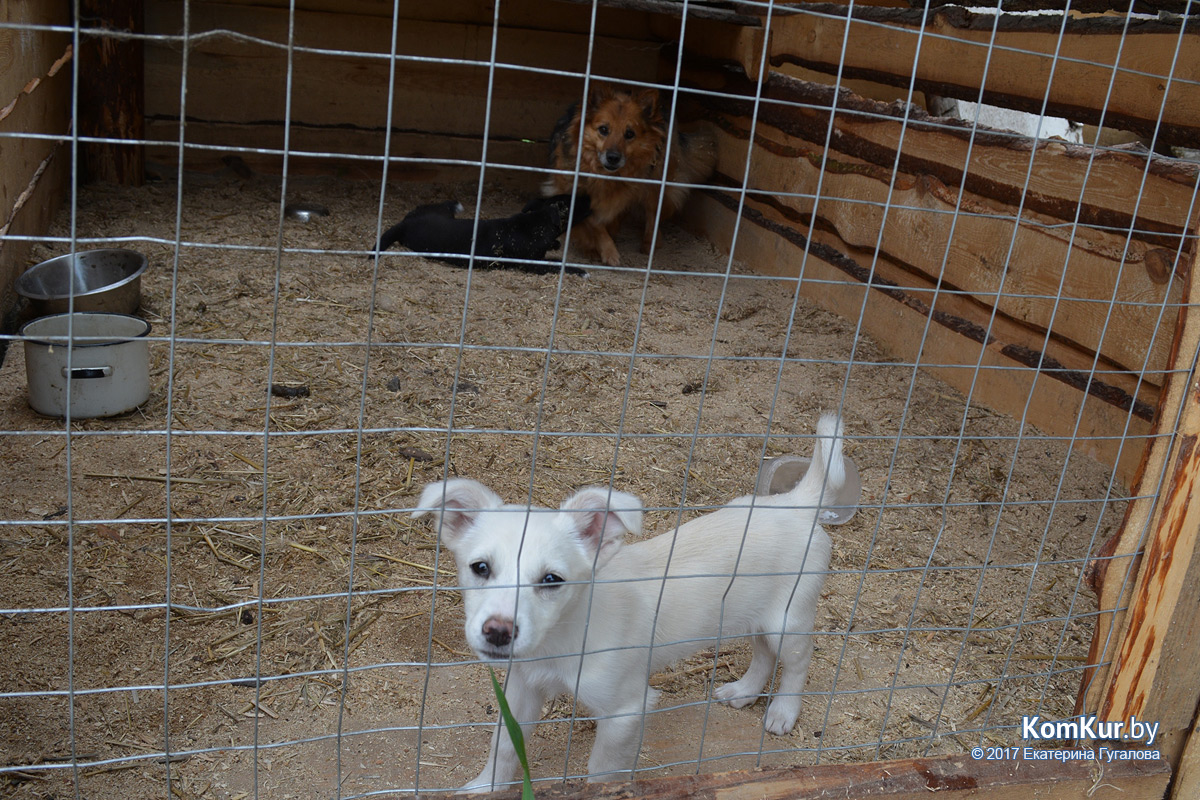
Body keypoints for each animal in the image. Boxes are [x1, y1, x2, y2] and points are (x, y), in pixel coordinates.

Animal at [367, 194, 588, 275]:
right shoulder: (534, 265)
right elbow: (558, 264)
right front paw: (580, 270)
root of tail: (405, 223)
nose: (587, 195)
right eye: (573, 202)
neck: (536, 222)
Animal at [412, 417, 844, 791]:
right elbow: (503, 744)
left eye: (552, 580)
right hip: (752, 615)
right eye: (480, 568)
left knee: (798, 660)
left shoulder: (626, 709)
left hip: (788, 618)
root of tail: (794, 503)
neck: (559, 640)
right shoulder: (522, 686)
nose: (498, 633)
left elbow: (601, 770)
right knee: (763, 653)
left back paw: (784, 711)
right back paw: (744, 691)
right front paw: (484, 787)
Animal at [544, 84, 710, 267]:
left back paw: (650, 243)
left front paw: (607, 250)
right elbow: (595, 224)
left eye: (629, 134)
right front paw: (599, 248)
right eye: (603, 129)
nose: (613, 157)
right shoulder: (573, 191)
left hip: (654, 183)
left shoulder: (623, 195)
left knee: (653, 214)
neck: (603, 175)